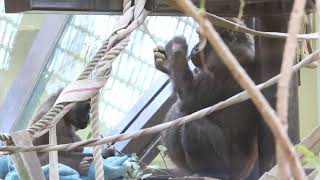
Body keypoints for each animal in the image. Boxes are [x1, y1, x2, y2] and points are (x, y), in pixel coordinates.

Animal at [155, 20, 260, 179]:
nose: (196, 47)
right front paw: (167, 63)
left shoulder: (225, 68)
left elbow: (189, 99)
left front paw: (176, 50)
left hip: (231, 169)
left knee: (193, 123)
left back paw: (212, 172)